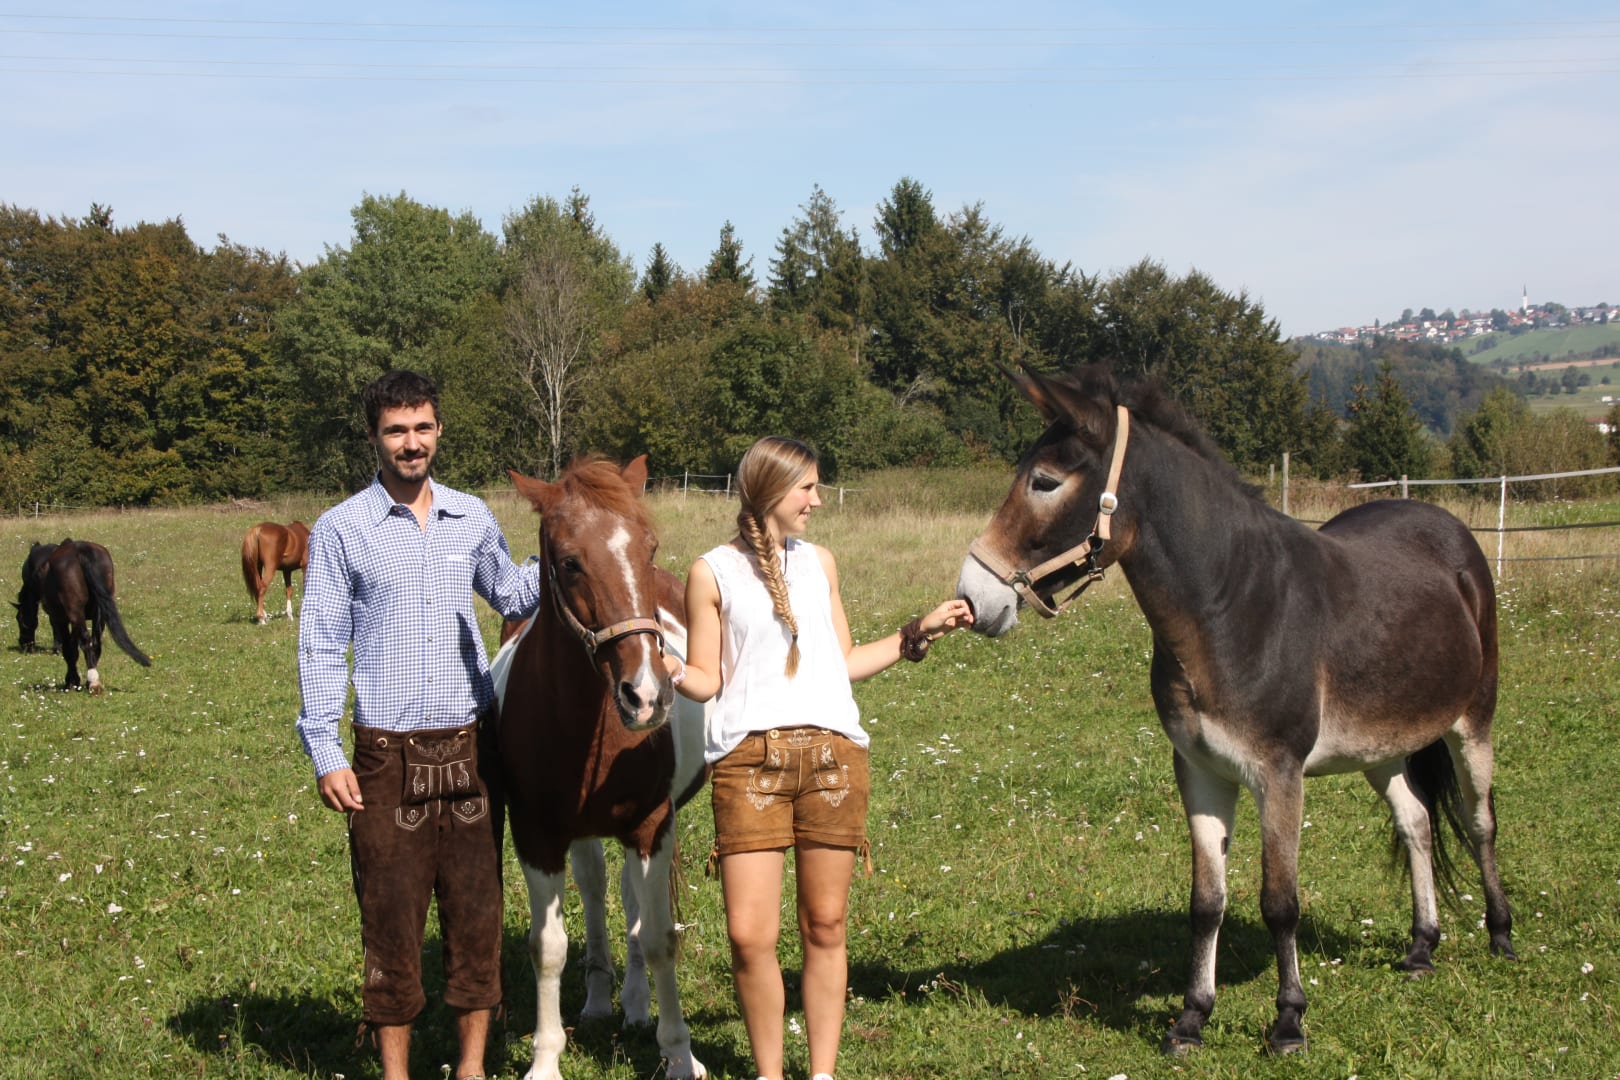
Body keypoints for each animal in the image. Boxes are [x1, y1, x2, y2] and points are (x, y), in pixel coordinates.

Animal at [14, 539, 152, 692]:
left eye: (19, 620)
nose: (24, 644)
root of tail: (82, 551)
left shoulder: (59, 618)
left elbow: (69, 649)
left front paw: (71, 681)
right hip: (99, 613)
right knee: (95, 642)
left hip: (75, 613)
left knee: (86, 641)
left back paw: (93, 682)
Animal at [492, 454, 708, 1080]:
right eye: (569, 562)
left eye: (649, 548)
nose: (647, 695)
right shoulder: (536, 834)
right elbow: (548, 947)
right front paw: (545, 1059)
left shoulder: (652, 825)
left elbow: (659, 938)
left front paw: (678, 1053)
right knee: (595, 890)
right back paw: (597, 1001)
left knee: (634, 907)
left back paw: (635, 1006)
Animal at [955, 364, 1515, 1055]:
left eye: (1045, 481)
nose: (972, 599)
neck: (1231, 605)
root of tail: (1445, 526)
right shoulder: (1201, 772)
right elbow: (1207, 902)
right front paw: (1191, 1018)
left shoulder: (1278, 774)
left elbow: (1280, 901)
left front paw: (1289, 1021)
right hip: (1381, 747)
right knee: (1416, 823)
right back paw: (1420, 948)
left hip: (1473, 723)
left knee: (1480, 821)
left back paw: (1501, 935)